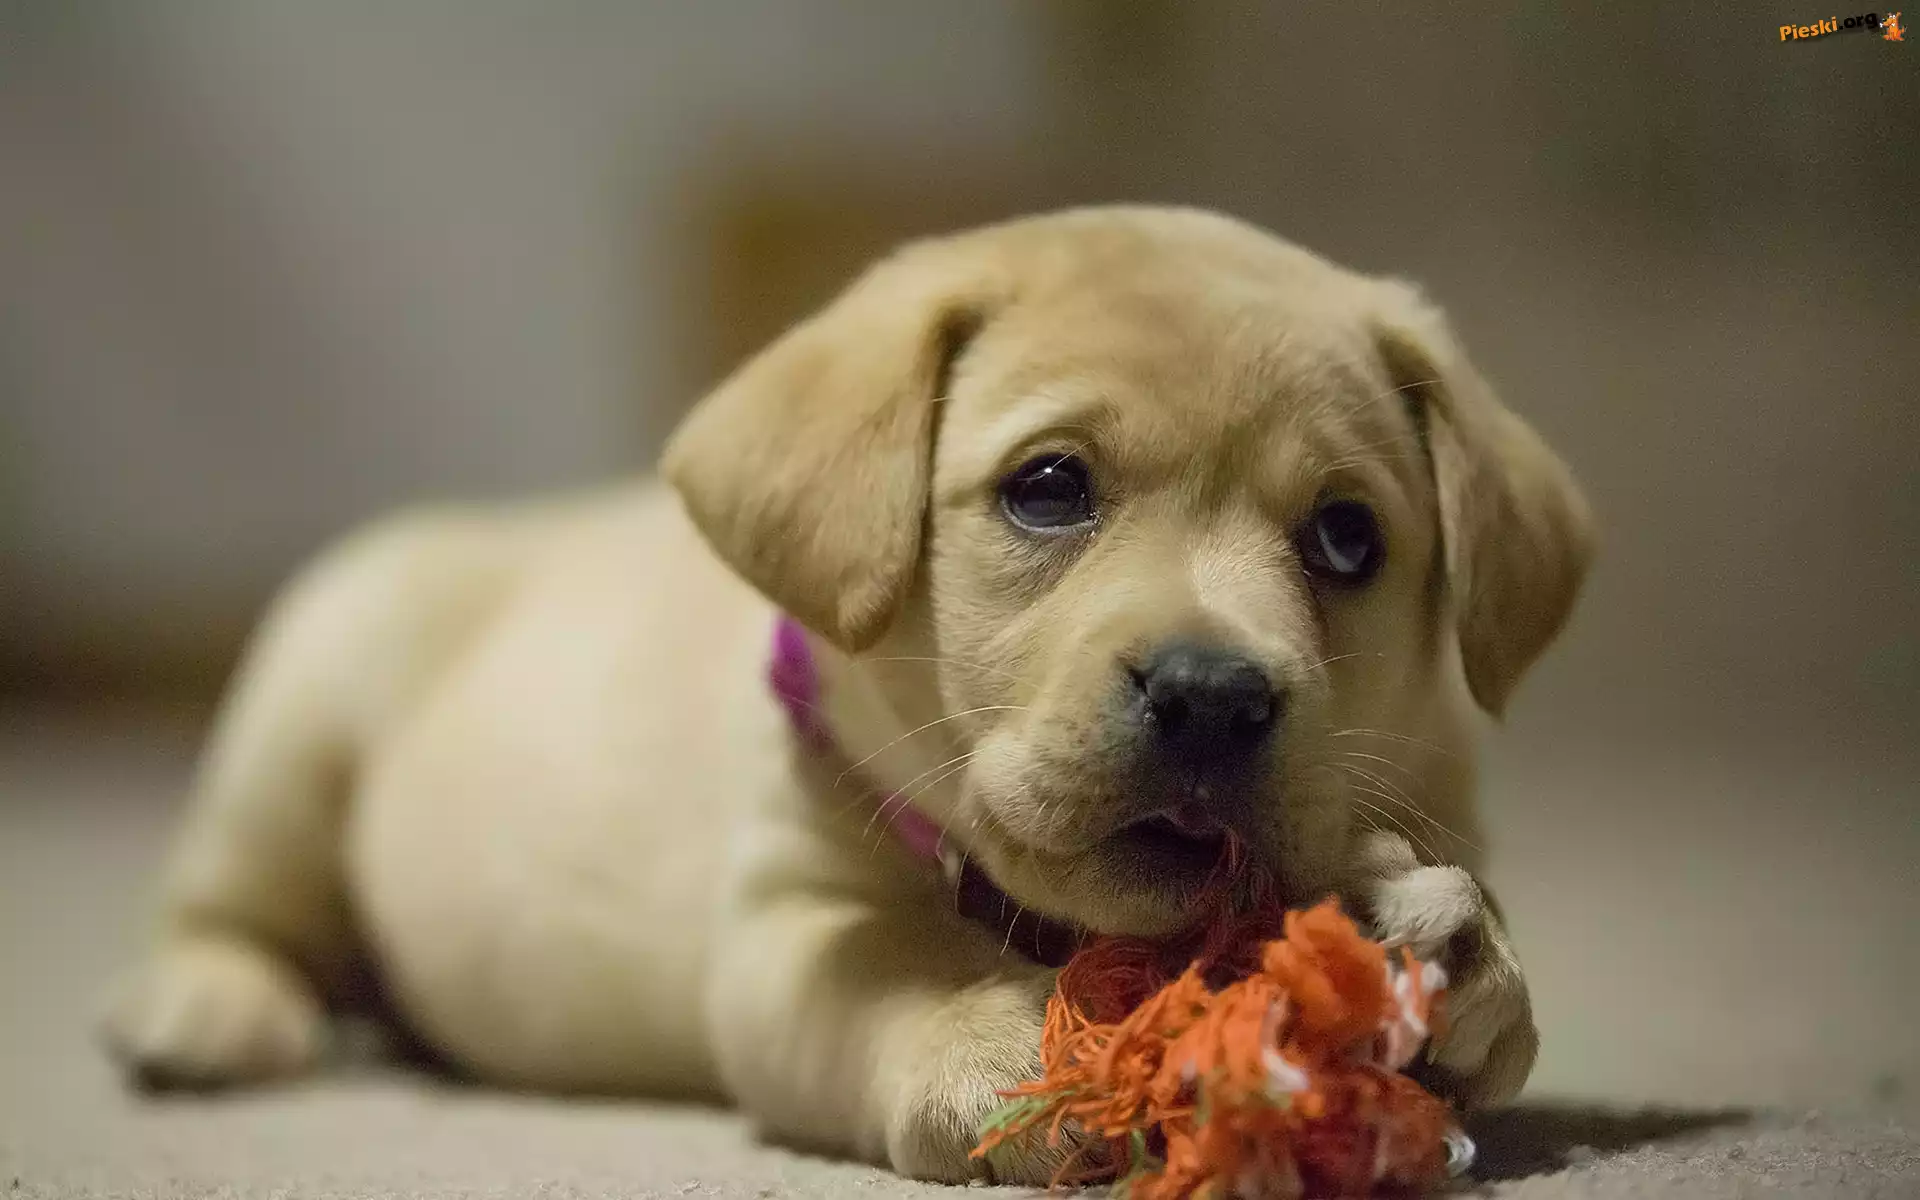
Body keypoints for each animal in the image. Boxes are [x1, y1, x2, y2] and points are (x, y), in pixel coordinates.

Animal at [101, 206, 1592, 1184]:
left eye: (1346, 538)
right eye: (1050, 488)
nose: (1215, 696)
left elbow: (1485, 961)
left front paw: (1446, 946)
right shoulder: (784, 928)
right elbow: (889, 977)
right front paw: (992, 1054)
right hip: (297, 730)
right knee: (226, 907)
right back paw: (205, 1011)